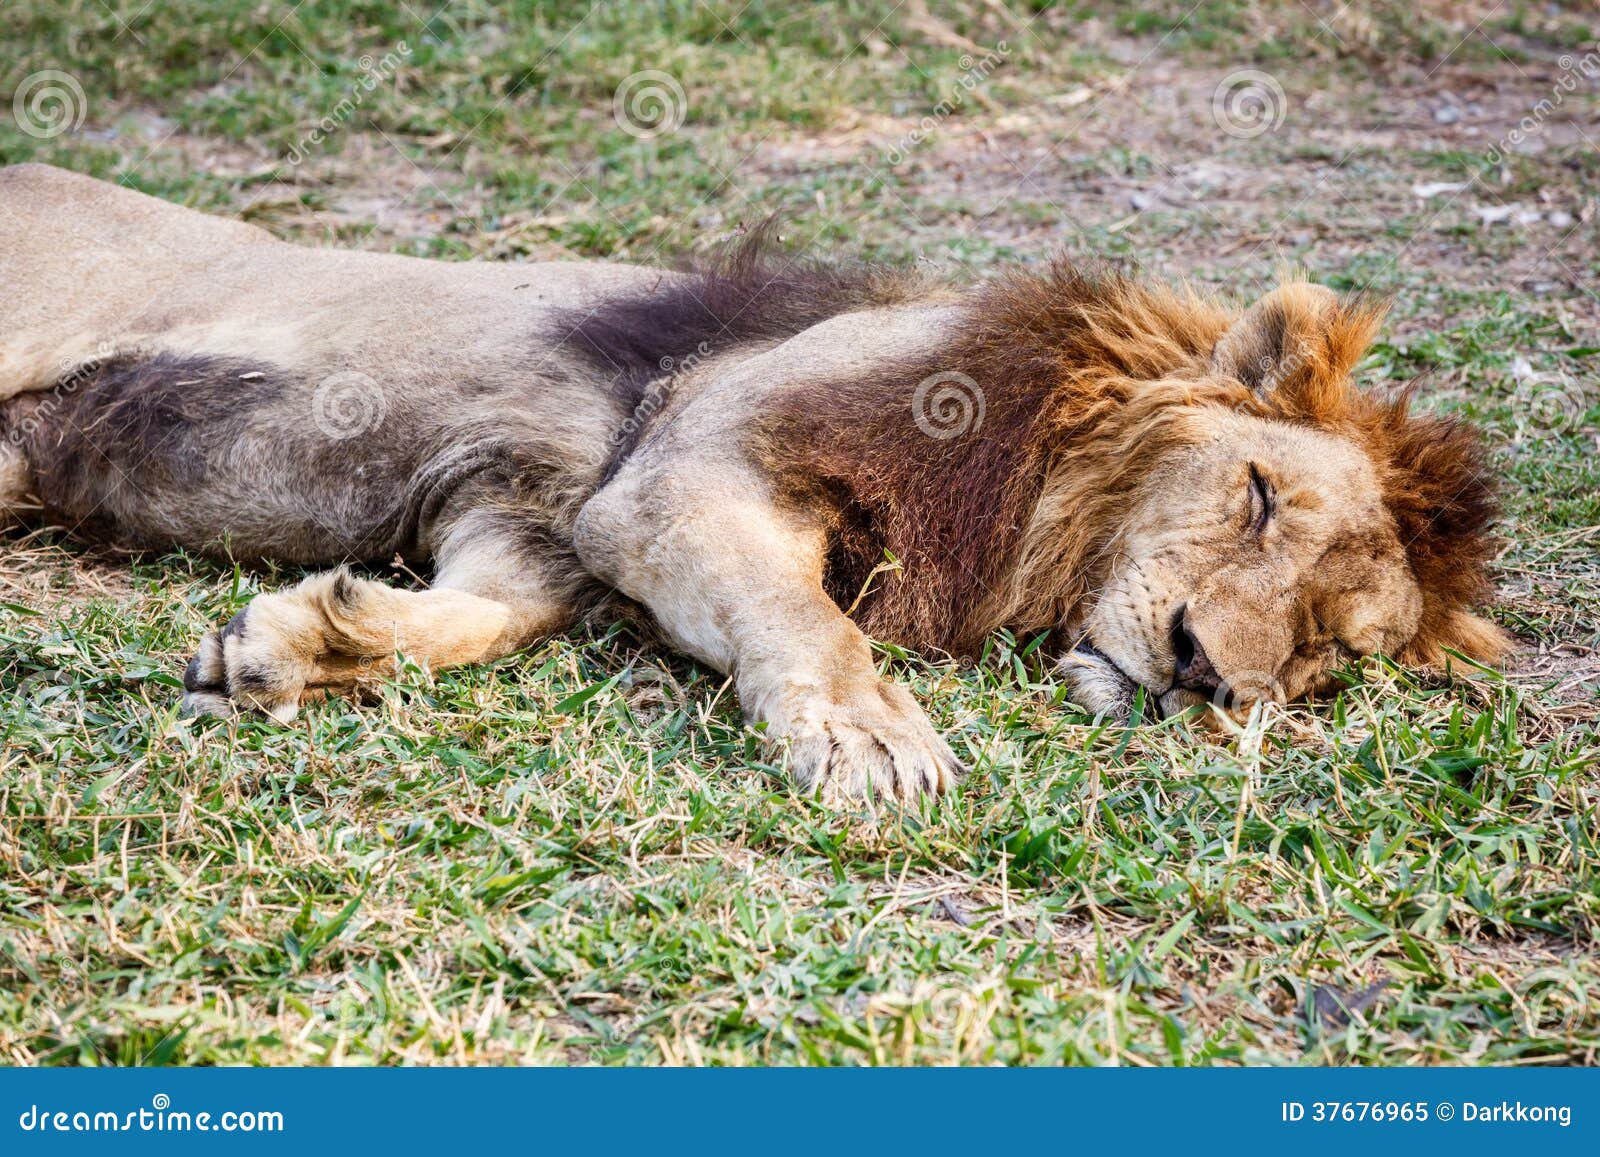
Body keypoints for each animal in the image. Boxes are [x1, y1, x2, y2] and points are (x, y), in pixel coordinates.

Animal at [0, 163, 1510, 800]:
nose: (1205, 670)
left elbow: (483, 616)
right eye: (1256, 496)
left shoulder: (534, 516)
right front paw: (873, 738)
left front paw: (303, 644)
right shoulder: (687, 465)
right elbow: (813, 623)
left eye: (1322, 654)